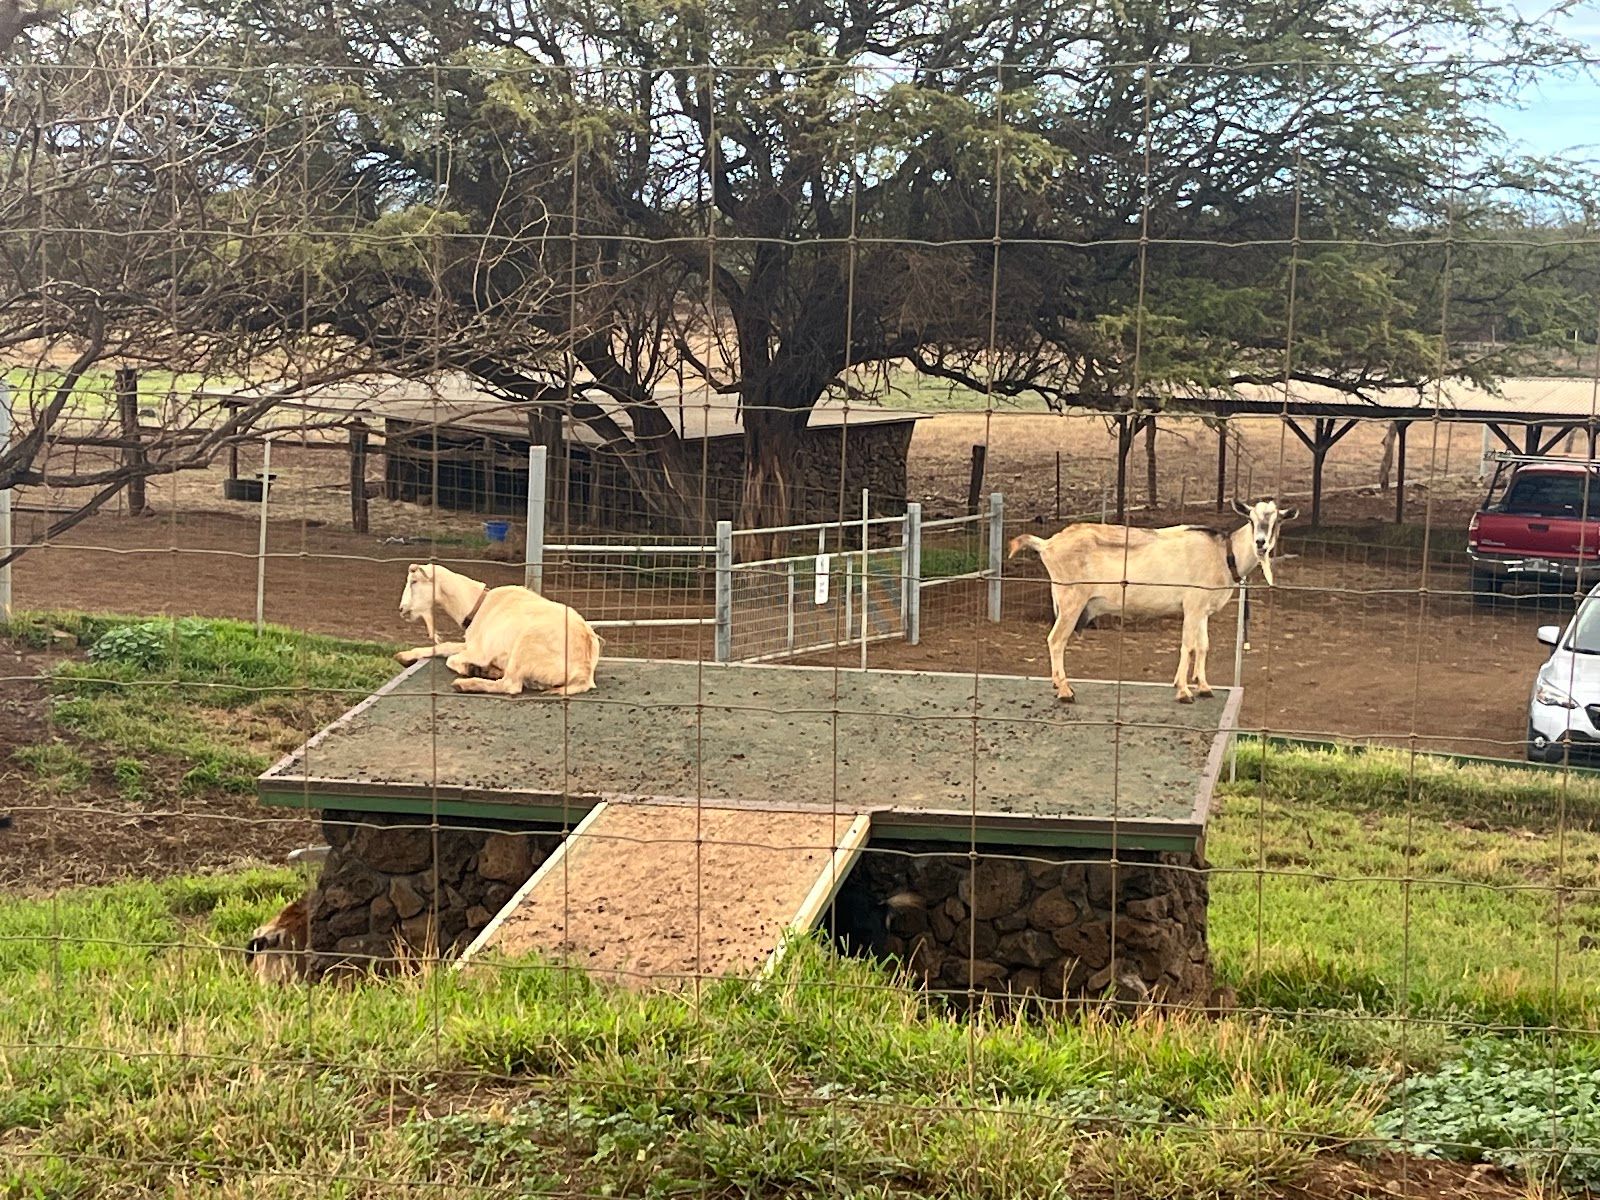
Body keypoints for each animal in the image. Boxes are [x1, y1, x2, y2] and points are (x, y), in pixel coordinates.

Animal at [395, 563, 602, 697]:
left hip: (524, 647)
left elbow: (452, 659)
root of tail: (583, 672)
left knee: (510, 685)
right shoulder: (471, 644)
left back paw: (467, 684)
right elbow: (445, 646)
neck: (477, 605)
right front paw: (404, 655)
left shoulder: (480, 652)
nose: (401, 609)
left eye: (414, 581)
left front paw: (474, 669)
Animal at [1007, 498, 1296, 704]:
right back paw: (1066, 691)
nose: (1260, 543)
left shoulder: (1202, 611)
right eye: (1251, 518)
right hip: (1071, 600)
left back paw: (1059, 685)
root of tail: (1047, 544)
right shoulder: (1192, 605)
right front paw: (1183, 691)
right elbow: (1188, 645)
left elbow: (1203, 646)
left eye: (1277, 521)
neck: (1224, 553)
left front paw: (1203, 687)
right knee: (1056, 640)